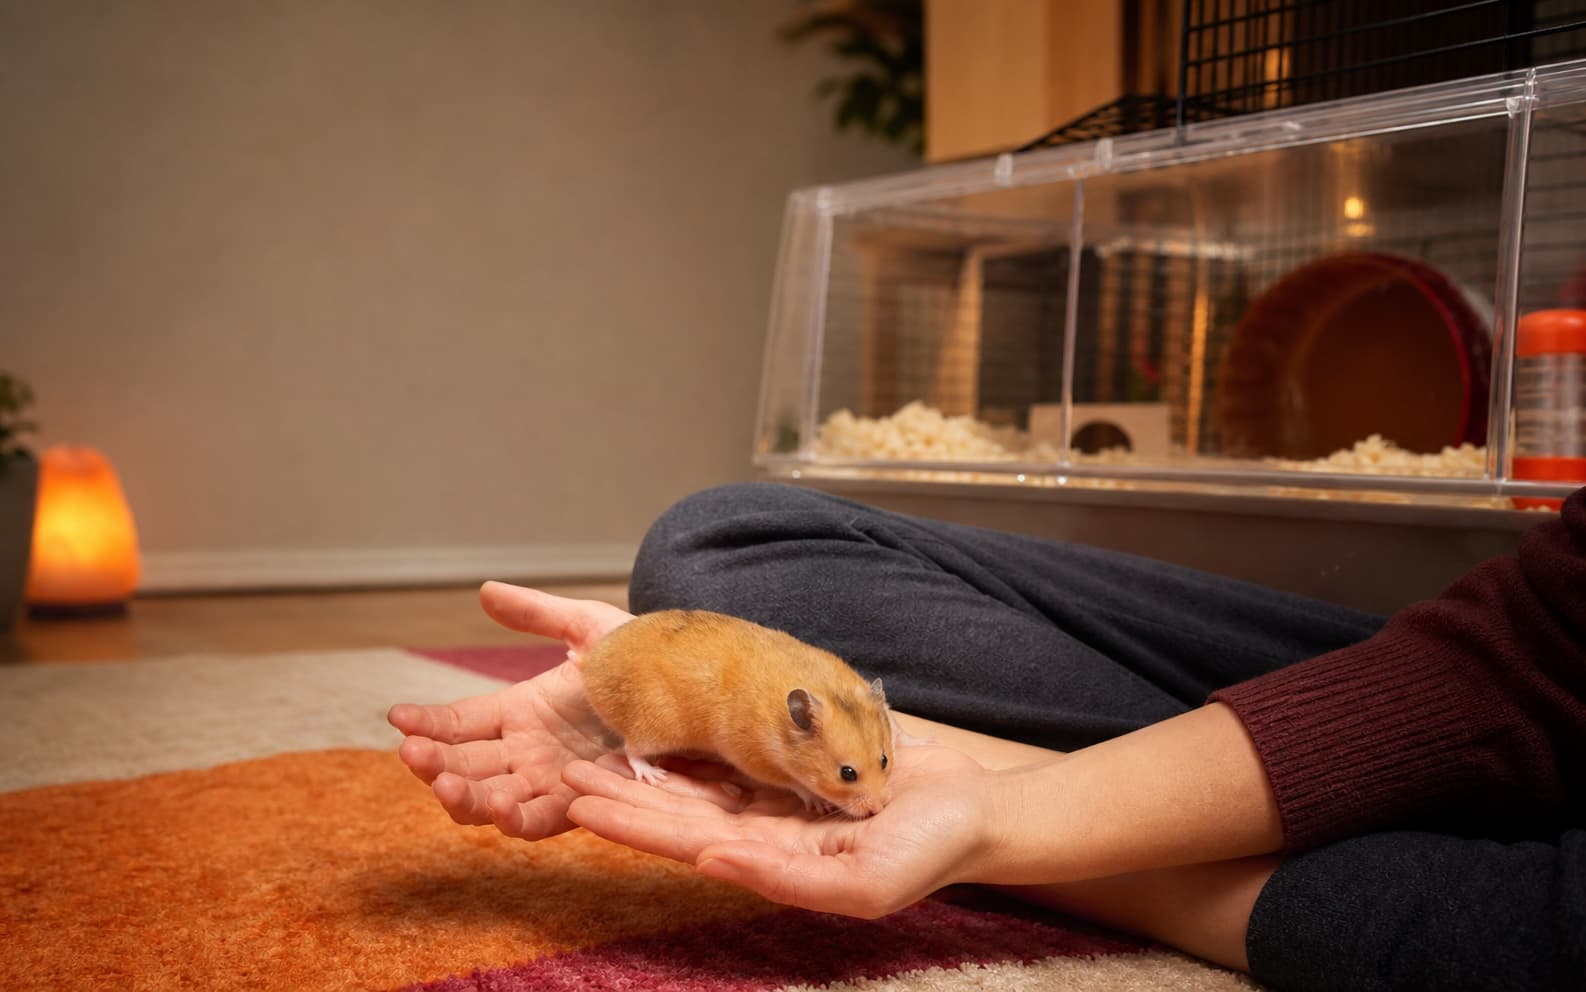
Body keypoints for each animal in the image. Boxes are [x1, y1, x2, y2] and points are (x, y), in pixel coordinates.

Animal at [574, 609, 893, 818]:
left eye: (884, 760)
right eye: (847, 774)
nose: (878, 809)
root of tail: (589, 666)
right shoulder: (753, 759)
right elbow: (793, 783)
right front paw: (818, 802)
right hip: (655, 726)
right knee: (632, 751)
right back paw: (654, 775)